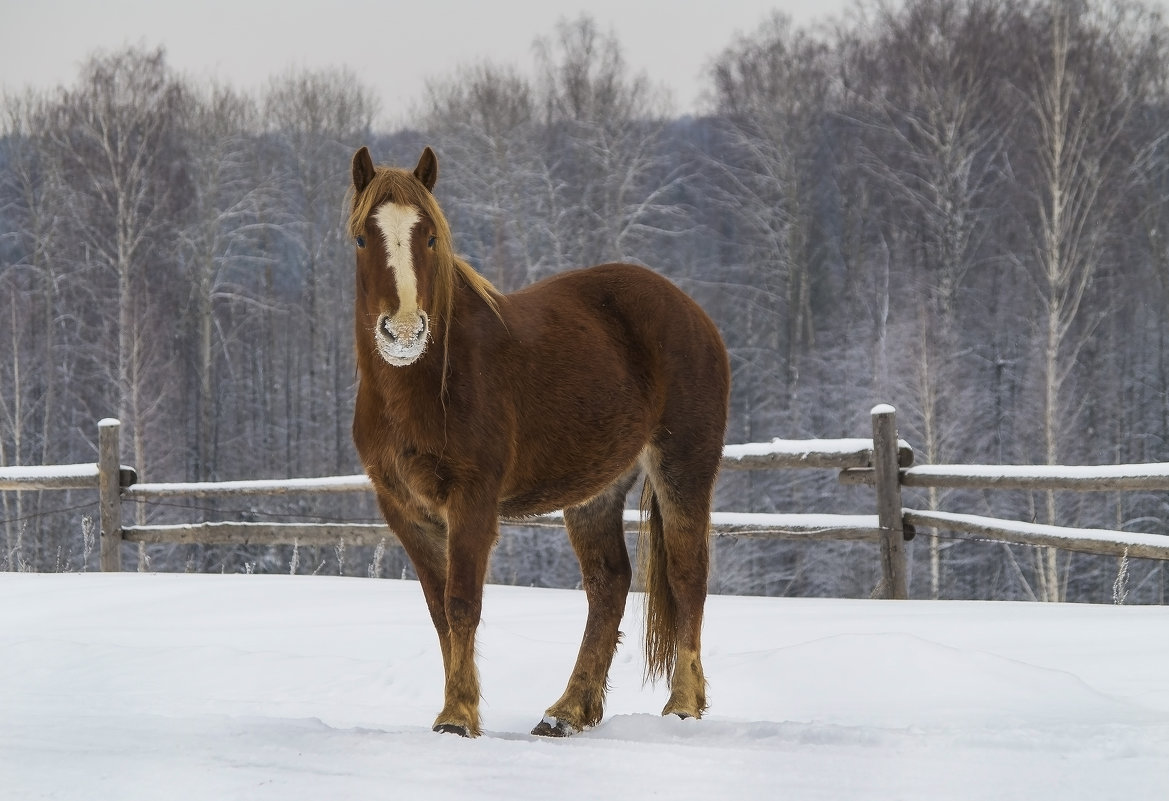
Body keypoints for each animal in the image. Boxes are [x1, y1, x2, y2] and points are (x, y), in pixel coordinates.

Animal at [348, 144, 729, 739]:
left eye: (429, 237)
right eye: (364, 239)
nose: (405, 330)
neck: (427, 383)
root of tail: (689, 309)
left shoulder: (473, 499)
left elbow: (462, 603)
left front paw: (457, 718)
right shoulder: (405, 510)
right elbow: (439, 610)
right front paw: (458, 707)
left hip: (683, 465)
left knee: (688, 575)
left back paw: (683, 706)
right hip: (595, 492)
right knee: (608, 585)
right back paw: (568, 711)